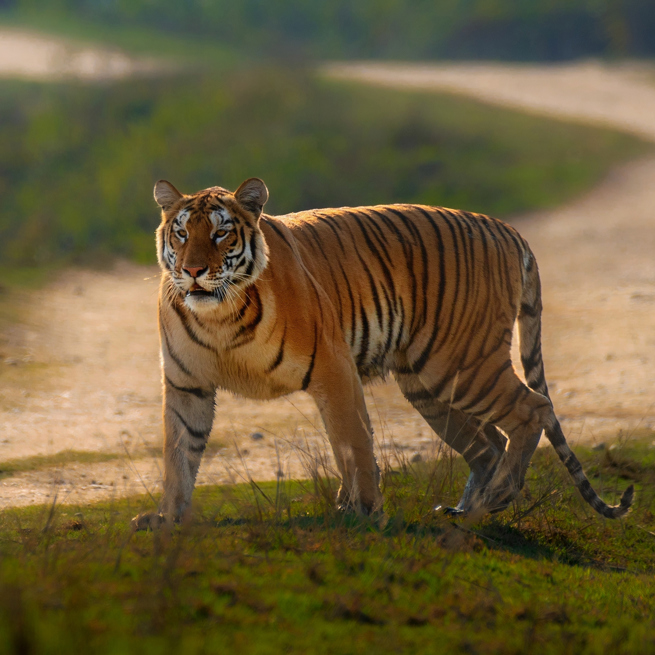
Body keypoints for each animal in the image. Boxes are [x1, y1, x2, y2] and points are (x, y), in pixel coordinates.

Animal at [131, 177, 633, 530]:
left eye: (220, 234)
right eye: (181, 234)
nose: (193, 270)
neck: (219, 319)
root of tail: (510, 231)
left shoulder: (333, 368)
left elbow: (352, 444)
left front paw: (366, 512)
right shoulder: (186, 384)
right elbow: (179, 452)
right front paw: (166, 517)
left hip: (460, 362)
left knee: (534, 407)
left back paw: (498, 498)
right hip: (429, 383)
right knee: (489, 442)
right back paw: (464, 511)